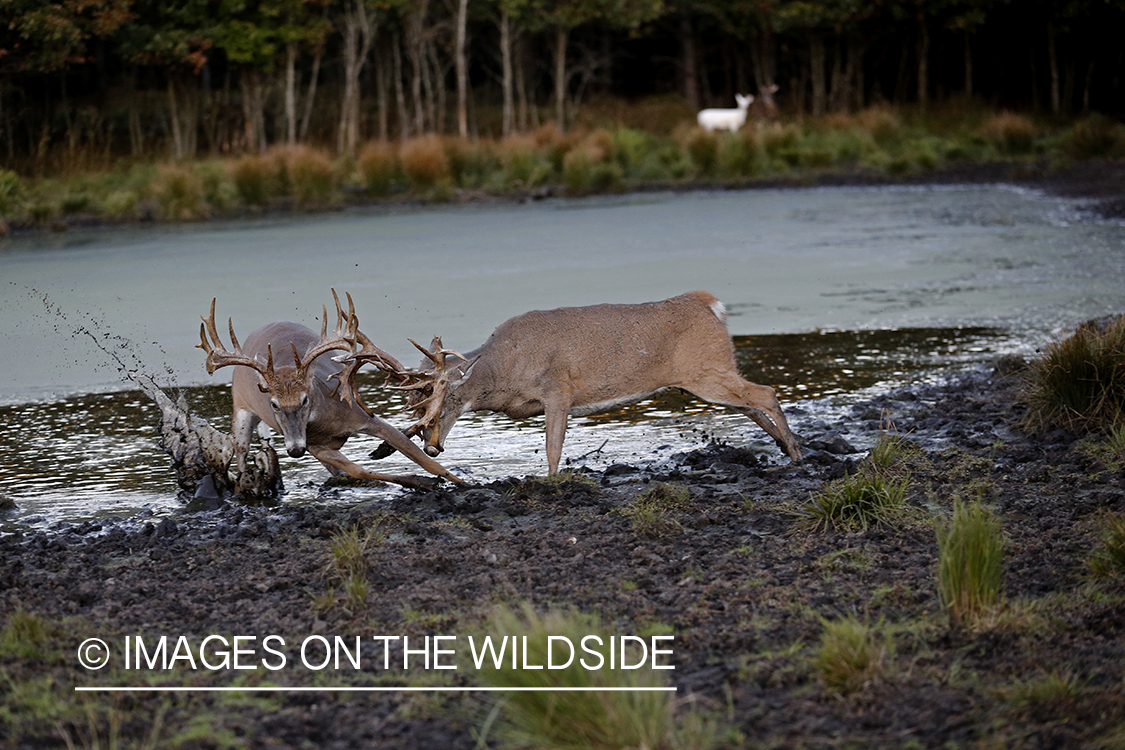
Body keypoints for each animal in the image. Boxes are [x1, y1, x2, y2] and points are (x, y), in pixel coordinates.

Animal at [199, 290, 465, 490]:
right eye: (273, 404)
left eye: (305, 400)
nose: (294, 450)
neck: (330, 421)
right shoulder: (315, 446)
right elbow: (359, 471)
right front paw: (422, 482)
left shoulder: (367, 418)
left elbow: (424, 459)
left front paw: (462, 483)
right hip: (241, 408)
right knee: (241, 454)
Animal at [364, 290, 805, 472]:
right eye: (415, 405)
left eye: (448, 397)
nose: (433, 447)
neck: (503, 369)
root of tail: (709, 304)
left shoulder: (559, 387)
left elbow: (553, 447)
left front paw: (551, 481)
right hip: (704, 375)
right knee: (752, 406)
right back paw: (785, 449)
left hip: (706, 370)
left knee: (766, 393)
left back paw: (797, 456)